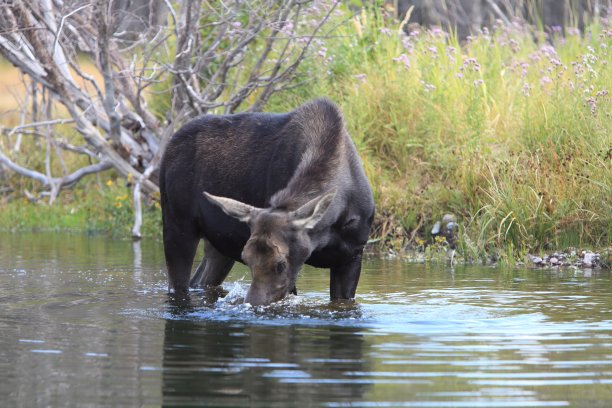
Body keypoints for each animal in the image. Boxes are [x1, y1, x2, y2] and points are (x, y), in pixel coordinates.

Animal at [160, 97, 376, 304]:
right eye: (246, 258)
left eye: (280, 264)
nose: (253, 303)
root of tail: (167, 148)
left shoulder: (352, 254)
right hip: (177, 225)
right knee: (179, 285)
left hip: (218, 243)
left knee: (200, 280)